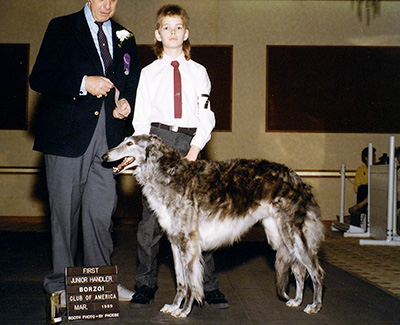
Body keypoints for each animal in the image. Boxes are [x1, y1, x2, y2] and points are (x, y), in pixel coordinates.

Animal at [103, 134, 324, 316]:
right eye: (124, 140)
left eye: (130, 143)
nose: (104, 156)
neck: (169, 174)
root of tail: (297, 179)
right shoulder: (175, 241)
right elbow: (181, 281)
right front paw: (174, 306)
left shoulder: (188, 242)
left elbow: (191, 282)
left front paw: (184, 311)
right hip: (280, 235)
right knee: (300, 271)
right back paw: (297, 300)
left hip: (292, 233)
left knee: (315, 271)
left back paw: (315, 306)